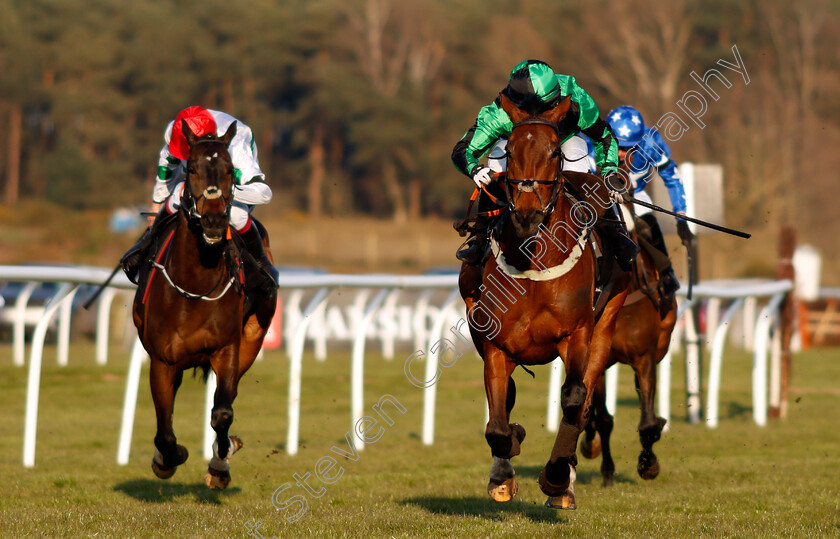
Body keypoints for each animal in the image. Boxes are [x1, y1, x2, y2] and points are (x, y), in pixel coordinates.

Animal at [131, 120, 276, 492]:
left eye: (228, 169)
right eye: (192, 169)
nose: (212, 221)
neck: (194, 288)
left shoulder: (226, 349)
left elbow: (222, 413)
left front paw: (221, 462)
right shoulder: (163, 360)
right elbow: (165, 430)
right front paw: (167, 459)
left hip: (251, 340)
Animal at [460, 95, 632, 512]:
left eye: (555, 151)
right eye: (507, 151)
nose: (526, 214)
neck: (534, 254)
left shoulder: (578, 334)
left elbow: (573, 400)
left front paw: (556, 478)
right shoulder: (495, 344)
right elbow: (498, 421)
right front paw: (506, 465)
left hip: (605, 327)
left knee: (583, 404)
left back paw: (565, 481)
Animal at [580, 221, 680, 488]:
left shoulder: (645, 358)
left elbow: (646, 422)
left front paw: (649, 465)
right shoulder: (598, 361)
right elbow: (603, 419)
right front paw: (606, 472)